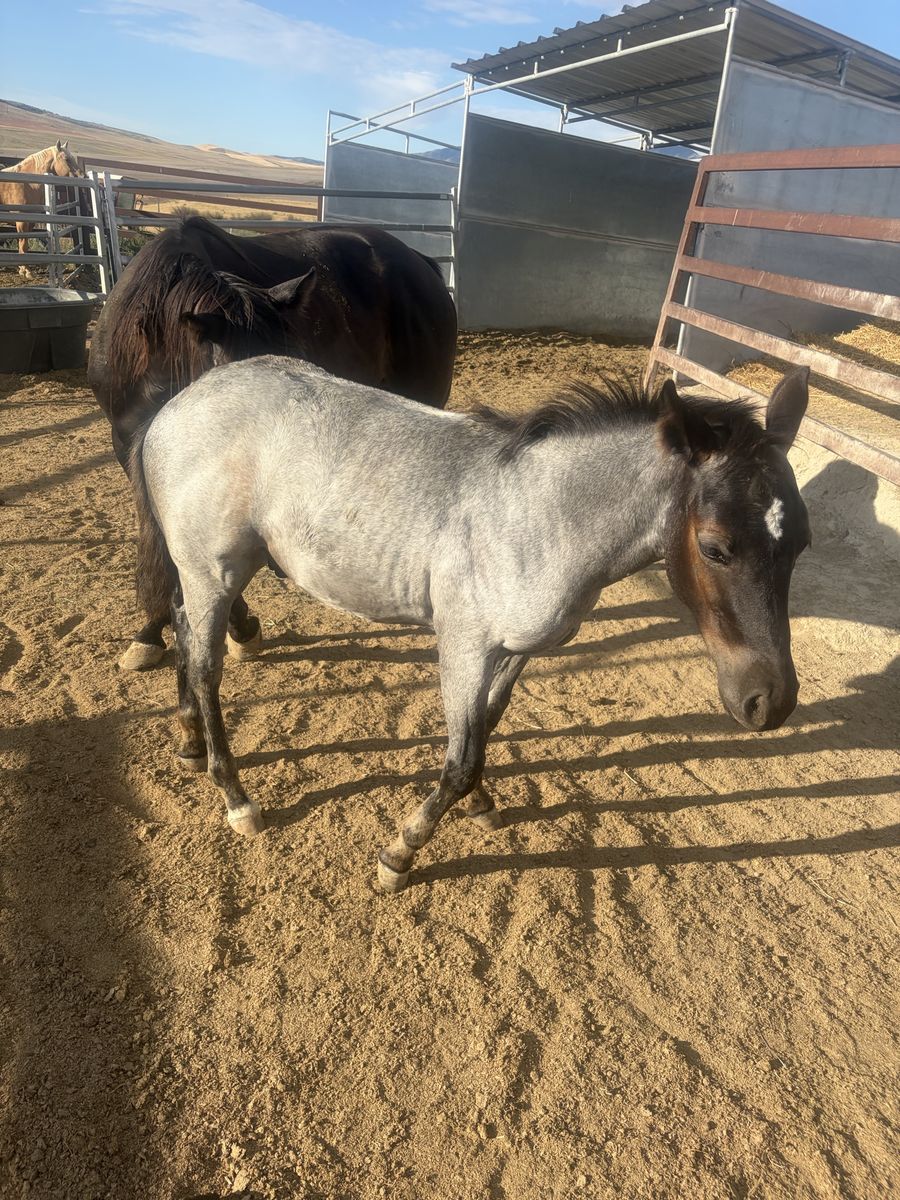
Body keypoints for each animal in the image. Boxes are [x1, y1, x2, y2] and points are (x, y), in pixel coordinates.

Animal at [0, 141, 83, 278]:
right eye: (66, 159)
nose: (83, 176)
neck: (27, 184)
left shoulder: (31, 222)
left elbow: (25, 244)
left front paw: (22, 269)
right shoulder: (21, 222)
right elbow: (23, 243)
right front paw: (27, 270)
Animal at [127, 356, 811, 893]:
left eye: (802, 543)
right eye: (716, 548)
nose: (769, 702)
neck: (539, 518)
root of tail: (177, 404)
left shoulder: (515, 649)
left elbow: (486, 727)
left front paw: (482, 805)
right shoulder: (463, 646)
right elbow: (458, 758)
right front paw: (400, 853)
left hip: (214, 572)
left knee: (185, 633)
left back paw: (189, 743)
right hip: (212, 570)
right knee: (206, 666)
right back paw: (237, 798)